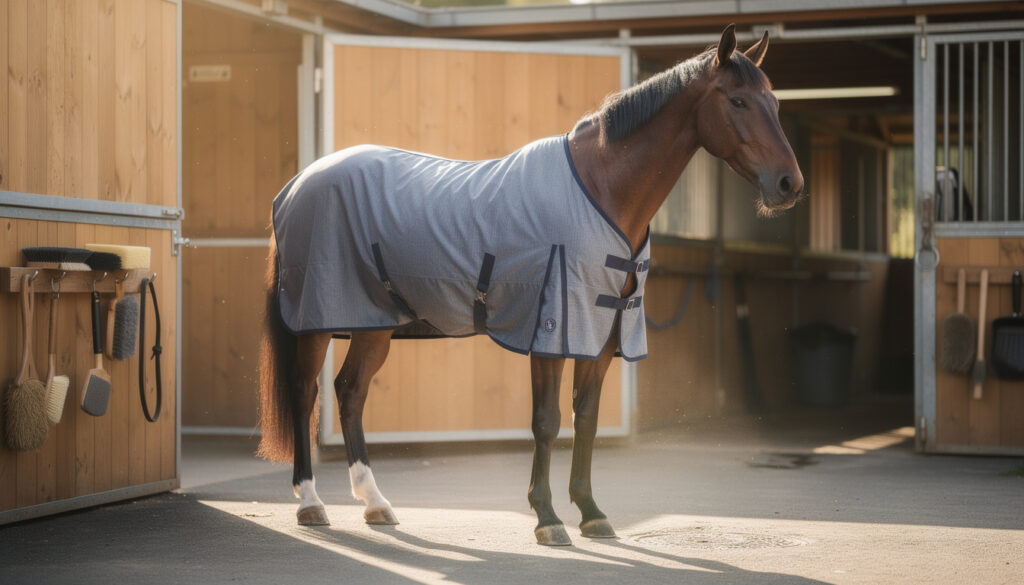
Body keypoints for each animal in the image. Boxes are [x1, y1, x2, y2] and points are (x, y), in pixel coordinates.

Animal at [257, 24, 804, 546]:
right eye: (737, 101)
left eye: (776, 103)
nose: (789, 185)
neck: (599, 189)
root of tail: (297, 185)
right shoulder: (551, 331)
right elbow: (547, 422)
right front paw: (547, 519)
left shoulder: (600, 334)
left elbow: (586, 419)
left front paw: (591, 513)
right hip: (318, 320)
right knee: (305, 392)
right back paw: (311, 503)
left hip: (373, 323)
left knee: (350, 393)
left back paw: (375, 503)